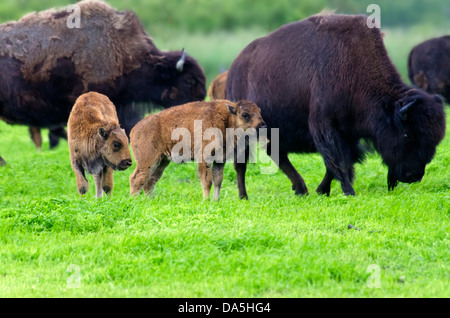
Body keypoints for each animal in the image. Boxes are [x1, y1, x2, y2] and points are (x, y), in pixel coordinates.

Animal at [128, 99, 266, 200]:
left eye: (259, 112)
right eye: (245, 114)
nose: (262, 125)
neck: (227, 119)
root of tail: (135, 129)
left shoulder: (220, 160)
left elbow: (218, 180)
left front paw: (216, 200)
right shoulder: (204, 158)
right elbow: (207, 180)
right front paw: (206, 200)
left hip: (162, 161)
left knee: (150, 181)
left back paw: (150, 200)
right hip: (148, 161)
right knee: (136, 178)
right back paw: (135, 201)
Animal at [227, 13, 444, 198]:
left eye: (433, 141)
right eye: (407, 134)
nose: (413, 176)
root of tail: (234, 70)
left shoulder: (348, 134)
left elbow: (340, 163)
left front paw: (323, 190)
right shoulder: (326, 126)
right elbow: (338, 161)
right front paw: (349, 192)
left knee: (278, 155)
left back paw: (301, 189)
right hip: (245, 133)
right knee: (242, 164)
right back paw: (244, 196)